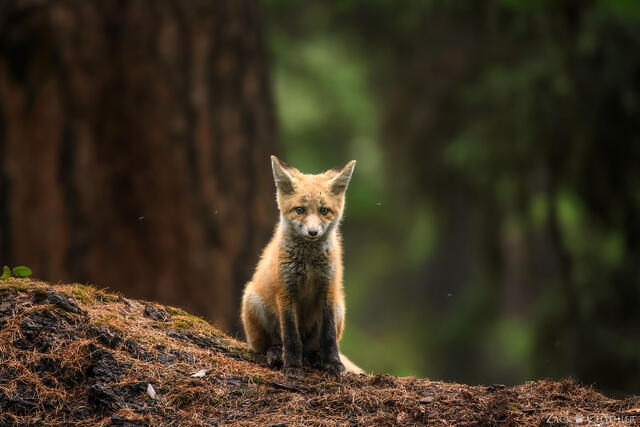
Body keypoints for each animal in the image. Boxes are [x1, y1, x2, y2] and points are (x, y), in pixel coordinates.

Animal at [241, 156, 362, 378]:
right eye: (300, 210)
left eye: (324, 211)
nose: (313, 232)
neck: (309, 264)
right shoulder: (286, 291)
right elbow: (291, 337)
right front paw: (293, 367)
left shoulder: (328, 289)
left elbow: (329, 336)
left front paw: (334, 363)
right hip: (253, 301)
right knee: (271, 344)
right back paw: (276, 353)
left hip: (340, 309)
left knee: (314, 346)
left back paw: (316, 358)